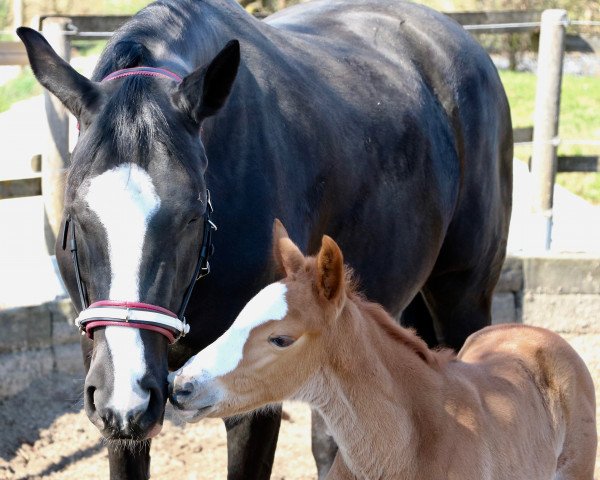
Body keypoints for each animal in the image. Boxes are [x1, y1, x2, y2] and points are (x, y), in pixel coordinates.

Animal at [19, 0, 510, 478]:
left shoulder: (254, 393)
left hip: (463, 297)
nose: (128, 396)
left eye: (193, 214)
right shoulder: (109, 388)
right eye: (76, 212)